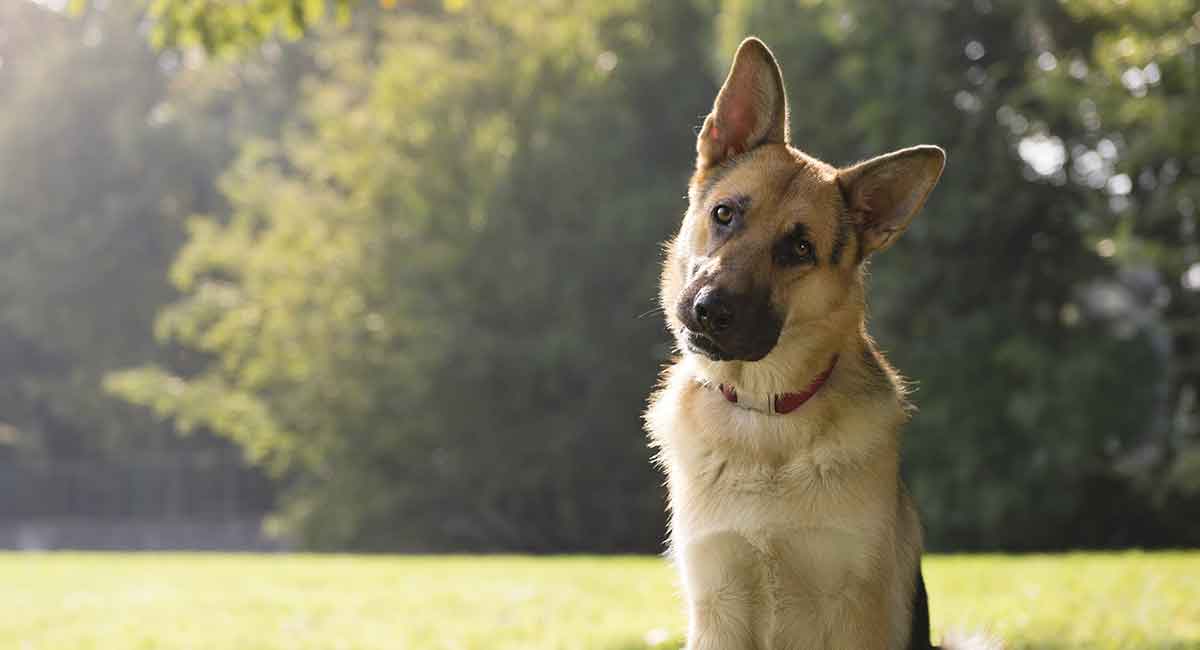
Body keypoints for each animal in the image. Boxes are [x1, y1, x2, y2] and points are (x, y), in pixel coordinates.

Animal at [643, 40, 998, 650]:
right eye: (724, 213)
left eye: (800, 248)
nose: (709, 310)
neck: (764, 416)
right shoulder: (717, 605)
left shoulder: (854, 608)